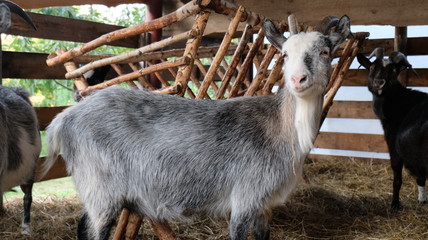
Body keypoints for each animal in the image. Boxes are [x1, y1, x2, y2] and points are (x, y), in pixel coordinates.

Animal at [42, 15, 352, 240]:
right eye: (284, 55)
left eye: (325, 51)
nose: (298, 79)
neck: (280, 128)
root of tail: (64, 119)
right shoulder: (245, 197)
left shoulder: (265, 205)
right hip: (99, 187)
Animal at [358, 49, 428, 210]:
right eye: (372, 67)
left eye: (394, 70)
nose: (379, 82)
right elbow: (421, 178)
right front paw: (422, 200)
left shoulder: (394, 148)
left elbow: (397, 178)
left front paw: (395, 204)